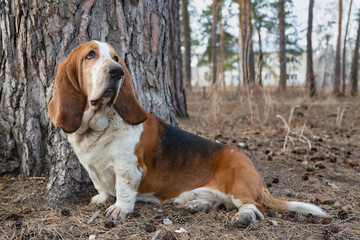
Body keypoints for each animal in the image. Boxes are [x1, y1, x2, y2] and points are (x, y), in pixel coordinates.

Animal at [47, 41, 326, 229]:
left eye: (116, 57)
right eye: (90, 55)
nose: (117, 71)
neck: (101, 124)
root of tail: (257, 176)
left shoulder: (127, 168)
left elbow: (123, 189)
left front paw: (119, 209)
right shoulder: (92, 167)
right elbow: (100, 185)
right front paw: (101, 198)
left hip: (240, 185)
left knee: (254, 207)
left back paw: (243, 217)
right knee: (218, 201)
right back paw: (197, 204)